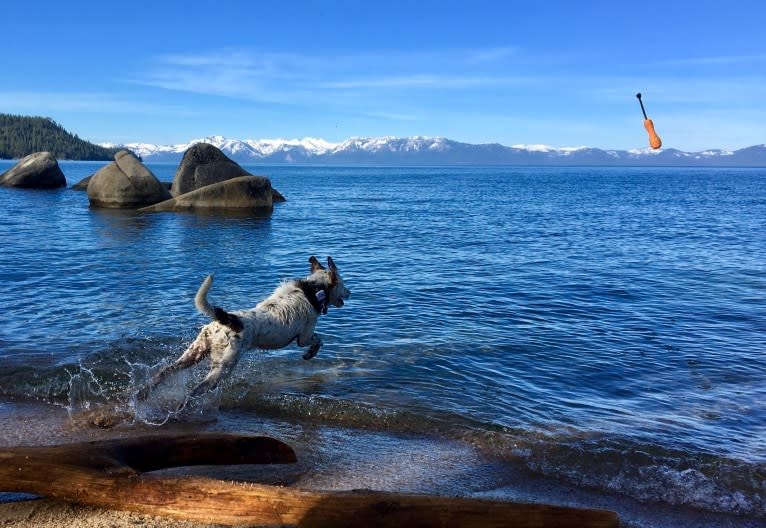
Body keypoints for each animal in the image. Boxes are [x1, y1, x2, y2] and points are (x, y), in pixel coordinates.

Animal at [138, 256, 352, 404]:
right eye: (343, 284)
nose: (351, 293)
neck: (313, 289)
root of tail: (228, 320)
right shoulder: (304, 336)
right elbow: (318, 340)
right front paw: (309, 354)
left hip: (194, 352)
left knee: (164, 372)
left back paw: (142, 394)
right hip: (223, 366)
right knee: (197, 389)